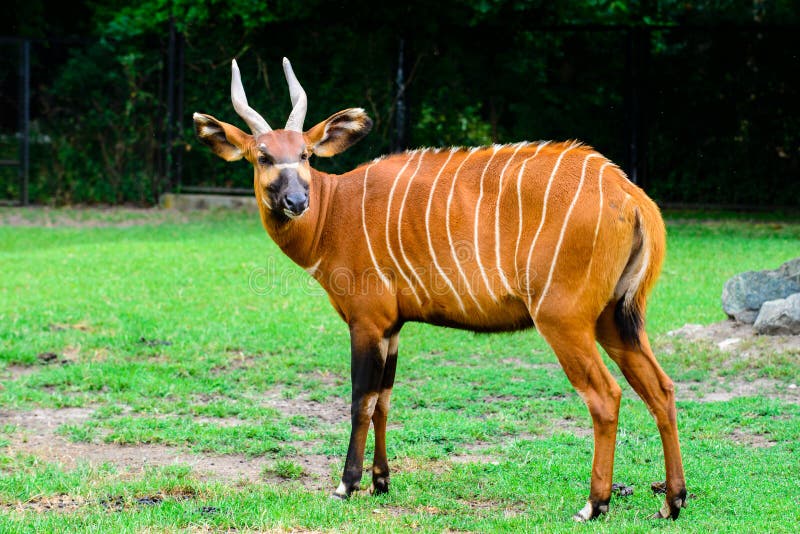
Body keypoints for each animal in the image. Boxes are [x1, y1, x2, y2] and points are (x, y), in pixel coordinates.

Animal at [193, 58, 687, 521]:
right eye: (263, 156)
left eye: (306, 155)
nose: (297, 201)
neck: (335, 211)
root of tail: (630, 194)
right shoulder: (392, 327)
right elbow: (384, 400)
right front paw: (381, 482)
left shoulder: (367, 321)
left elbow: (360, 400)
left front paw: (346, 485)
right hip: (615, 319)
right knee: (661, 389)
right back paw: (673, 501)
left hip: (563, 319)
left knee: (605, 396)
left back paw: (593, 505)